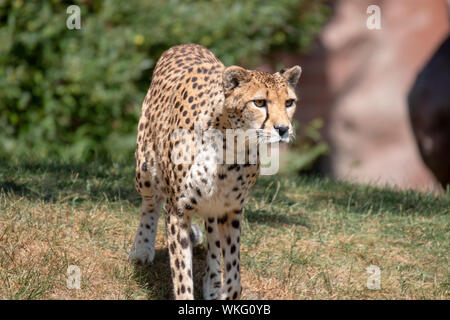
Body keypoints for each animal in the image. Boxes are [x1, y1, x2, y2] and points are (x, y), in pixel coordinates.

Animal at [128, 43, 300, 298]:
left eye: (289, 102)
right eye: (259, 103)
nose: (283, 129)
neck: (231, 146)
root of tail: (185, 44)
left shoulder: (231, 209)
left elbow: (234, 273)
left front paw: (224, 290)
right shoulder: (178, 211)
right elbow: (181, 274)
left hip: (213, 204)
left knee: (212, 237)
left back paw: (213, 282)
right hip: (145, 168)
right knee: (151, 202)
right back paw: (141, 248)